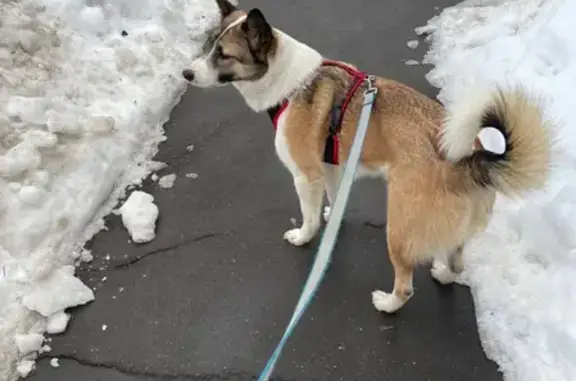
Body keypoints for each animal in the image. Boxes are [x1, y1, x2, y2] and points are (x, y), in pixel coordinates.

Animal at [182, 0, 552, 314]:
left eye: (224, 54)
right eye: (208, 46)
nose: (186, 73)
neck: (292, 82)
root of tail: (472, 159)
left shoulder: (306, 175)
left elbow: (309, 217)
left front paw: (304, 236)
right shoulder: (331, 167)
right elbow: (333, 200)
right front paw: (333, 218)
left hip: (399, 228)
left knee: (406, 285)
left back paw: (387, 303)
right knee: (456, 261)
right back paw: (442, 272)